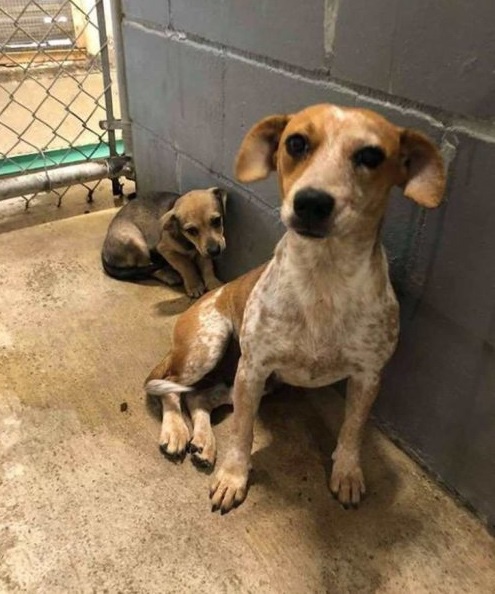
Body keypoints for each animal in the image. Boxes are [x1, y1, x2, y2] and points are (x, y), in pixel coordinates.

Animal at [101, 187, 229, 296]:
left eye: (217, 220)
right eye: (191, 230)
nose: (215, 251)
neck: (188, 242)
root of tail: (104, 250)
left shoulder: (202, 251)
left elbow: (207, 266)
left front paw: (213, 283)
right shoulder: (166, 250)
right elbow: (186, 266)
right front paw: (194, 285)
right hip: (136, 242)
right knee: (147, 268)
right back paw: (168, 275)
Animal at [142, 104, 446, 512]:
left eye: (371, 156)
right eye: (296, 143)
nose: (312, 202)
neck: (323, 279)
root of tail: (204, 297)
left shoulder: (367, 377)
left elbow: (352, 432)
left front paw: (347, 473)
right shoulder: (252, 370)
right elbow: (242, 433)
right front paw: (233, 477)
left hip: (255, 381)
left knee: (201, 397)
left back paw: (204, 442)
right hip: (210, 347)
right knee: (169, 389)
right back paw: (176, 431)